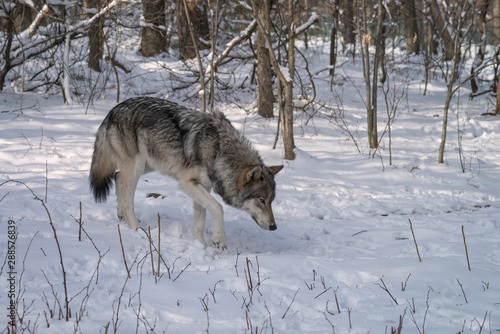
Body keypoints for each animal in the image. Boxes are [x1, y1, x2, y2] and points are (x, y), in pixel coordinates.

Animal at [89, 96, 282, 248]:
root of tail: (112, 111)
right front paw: (218, 238)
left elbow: (201, 218)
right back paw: (136, 229)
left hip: (147, 165)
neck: (218, 151)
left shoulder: (203, 186)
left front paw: (201, 247)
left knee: (117, 176)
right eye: (262, 200)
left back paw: (121, 215)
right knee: (126, 199)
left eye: (271, 201)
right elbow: (217, 207)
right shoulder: (187, 183)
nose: (274, 227)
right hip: (136, 167)